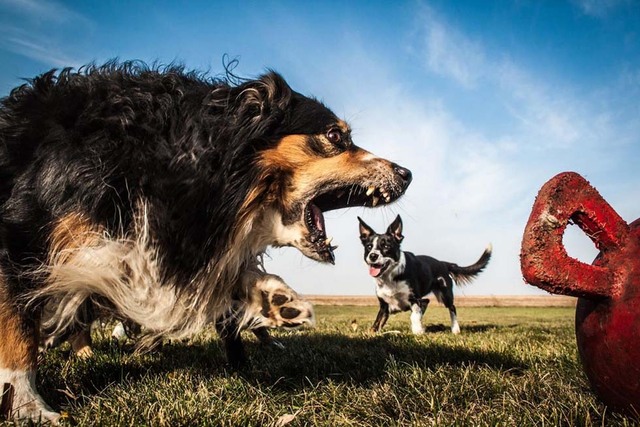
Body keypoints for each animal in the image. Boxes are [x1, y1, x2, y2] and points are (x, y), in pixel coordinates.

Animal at [0, 61, 410, 422]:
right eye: (335, 136)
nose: (407, 174)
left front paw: (272, 301)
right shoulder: (22, 235)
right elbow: (18, 329)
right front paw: (27, 405)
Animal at [358, 217, 488, 338]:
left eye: (386, 246)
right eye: (369, 247)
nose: (373, 255)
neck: (390, 277)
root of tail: (443, 263)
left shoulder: (414, 299)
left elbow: (414, 315)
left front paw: (417, 330)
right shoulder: (384, 306)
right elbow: (377, 322)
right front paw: (370, 333)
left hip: (445, 294)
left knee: (452, 307)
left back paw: (455, 329)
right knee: (426, 301)